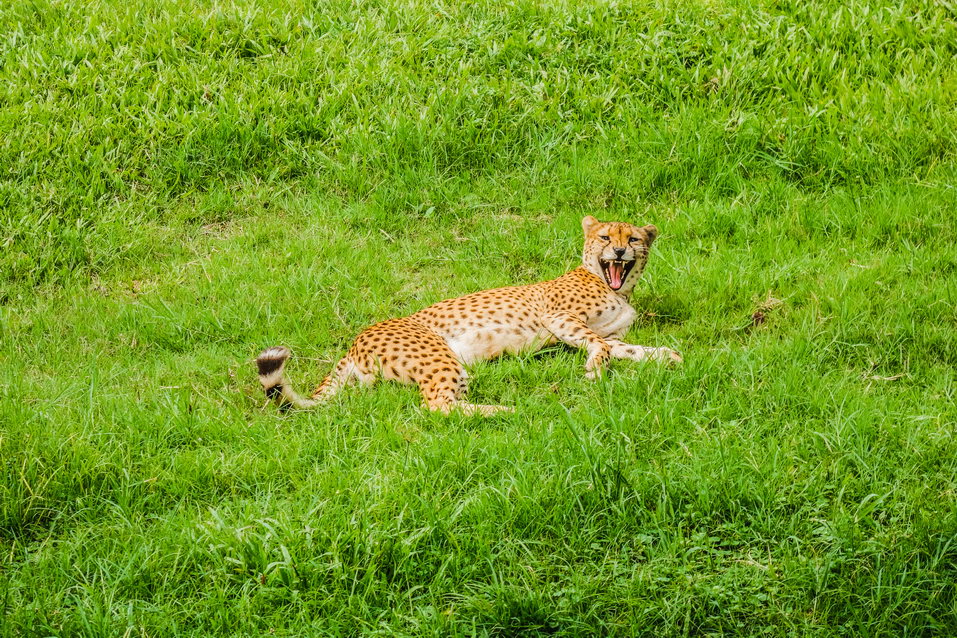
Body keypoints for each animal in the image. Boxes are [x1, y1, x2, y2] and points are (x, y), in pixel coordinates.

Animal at [256, 218, 680, 418]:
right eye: (606, 237)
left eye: (634, 239)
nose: (621, 252)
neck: (616, 287)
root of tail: (357, 339)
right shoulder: (557, 316)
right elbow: (598, 345)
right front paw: (594, 370)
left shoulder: (611, 333)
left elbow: (625, 347)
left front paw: (666, 356)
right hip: (438, 356)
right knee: (436, 407)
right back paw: (507, 411)